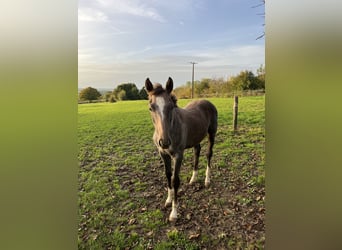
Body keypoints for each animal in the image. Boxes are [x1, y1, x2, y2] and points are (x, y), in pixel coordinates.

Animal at [146, 76, 218, 221]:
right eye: (151, 108)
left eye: (171, 107)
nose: (165, 142)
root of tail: (207, 101)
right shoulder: (163, 153)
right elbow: (168, 175)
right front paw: (168, 200)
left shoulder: (178, 155)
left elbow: (175, 180)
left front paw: (174, 213)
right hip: (196, 137)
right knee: (197, 151)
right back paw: (193, 179)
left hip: (212, 133)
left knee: (209, 153)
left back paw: (207, 180)